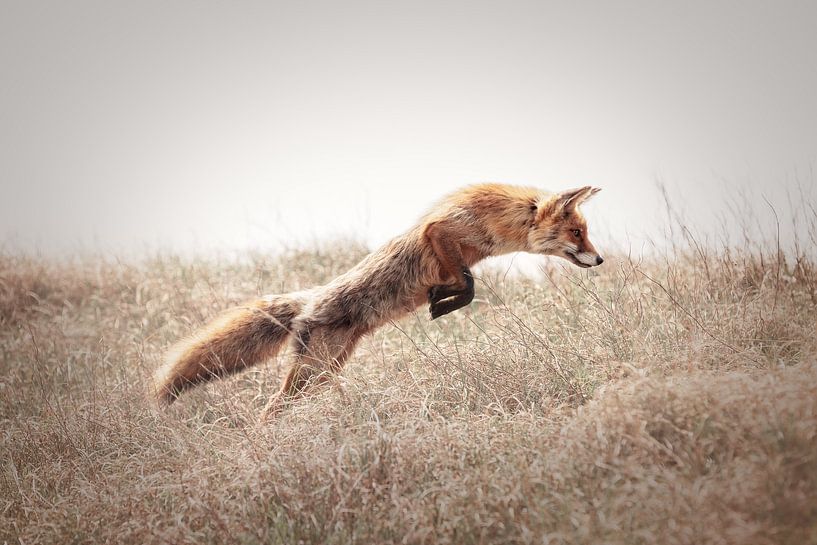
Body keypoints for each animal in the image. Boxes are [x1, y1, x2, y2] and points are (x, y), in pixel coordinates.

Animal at [153, 184, 604, 419]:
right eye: (578, 233)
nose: (600, 259)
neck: (504, 220)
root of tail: (308, 300)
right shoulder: (442, 232)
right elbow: (468, 283)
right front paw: (443, 301)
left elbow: (466, 282)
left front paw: (442, 299)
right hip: (313, 370)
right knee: (271, 407)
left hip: (328, 368)